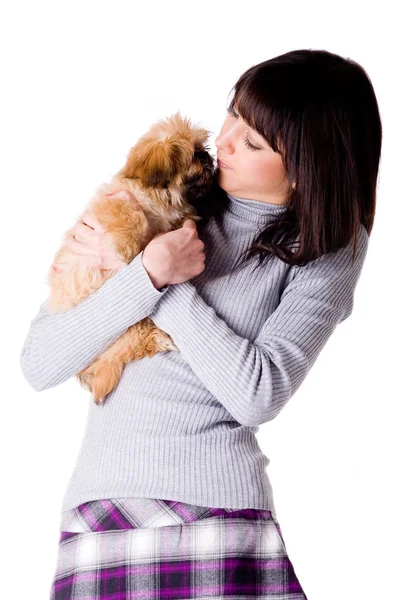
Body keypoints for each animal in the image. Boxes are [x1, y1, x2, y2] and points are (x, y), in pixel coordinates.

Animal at [46, 110, 216, 406]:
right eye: (195, 155)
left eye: (203, 149)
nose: (209, 158)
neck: (159, 200)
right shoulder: (116, 204)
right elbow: (131, 215)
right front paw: (131, 243)